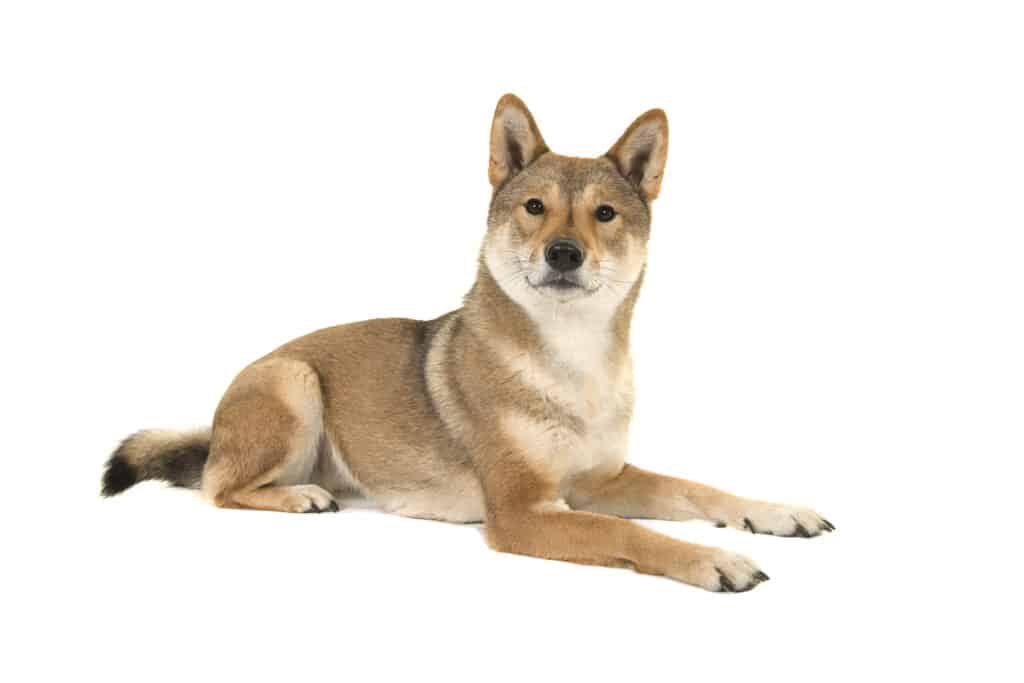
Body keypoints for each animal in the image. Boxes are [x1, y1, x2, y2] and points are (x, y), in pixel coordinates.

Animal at [101, 94, 831, 593]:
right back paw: (297, 495)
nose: (564, 253)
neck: (572, 364)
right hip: (294, 382)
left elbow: (699, 490)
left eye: (604, 214)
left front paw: (775, 513)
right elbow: (631, 532)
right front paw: (715, 557)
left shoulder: (602, 479)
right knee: (218, 487)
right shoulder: (521, 511)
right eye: (535, 208)